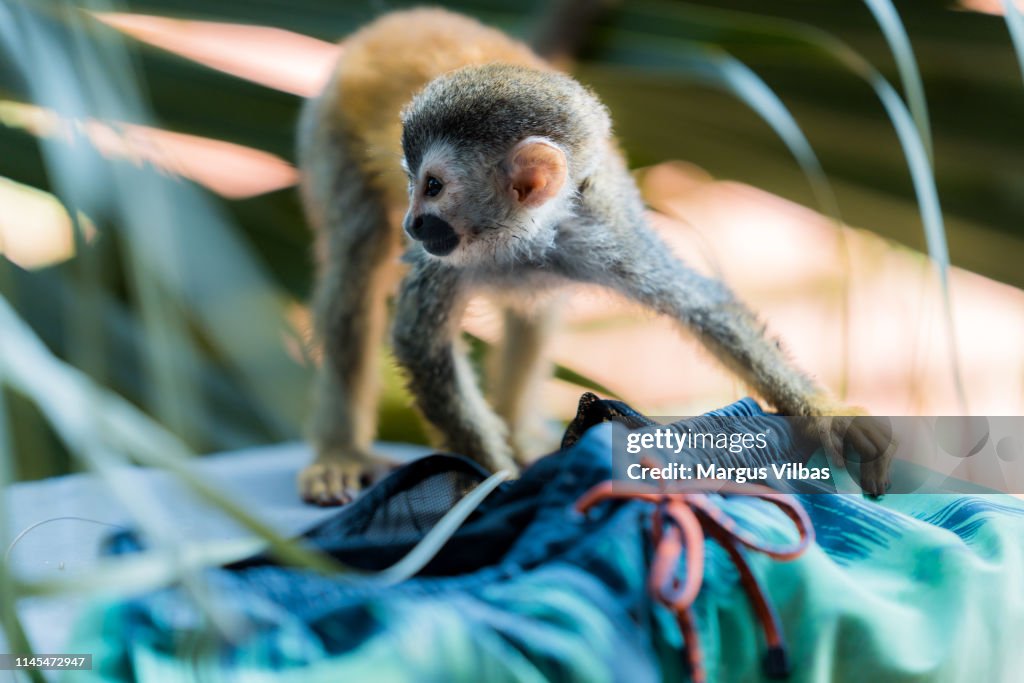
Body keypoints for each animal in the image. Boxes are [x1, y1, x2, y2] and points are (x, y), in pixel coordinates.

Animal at [296, 8, 892, 506]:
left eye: (434, 187)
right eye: (412, 185)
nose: (413, 223)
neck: (522, 233)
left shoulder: (600, 230)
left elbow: (702, 306)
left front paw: (831, 416)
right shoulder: (440, 260)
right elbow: (419, 342)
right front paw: (497, 482)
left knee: (534, 308)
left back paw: (515, 424)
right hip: (329, 129)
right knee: (354, 269)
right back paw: (341, 451)